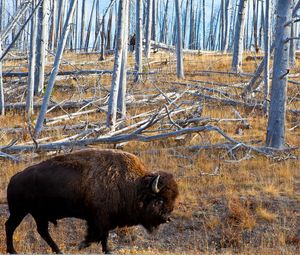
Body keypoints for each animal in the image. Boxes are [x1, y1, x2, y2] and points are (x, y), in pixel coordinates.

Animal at [5, 148, 178, 254]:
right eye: (159, 200)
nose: (167, 218)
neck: (135, 186)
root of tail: (14, 178)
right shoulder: (99, 218)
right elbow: (97, 235)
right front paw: (82, 245)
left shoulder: (105, 219)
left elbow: (104, 236)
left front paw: (106, 250)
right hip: (20, 211)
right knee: (10, 226)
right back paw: (12, 250)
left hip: (38, 215)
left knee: (42, 231)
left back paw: (58, 250)